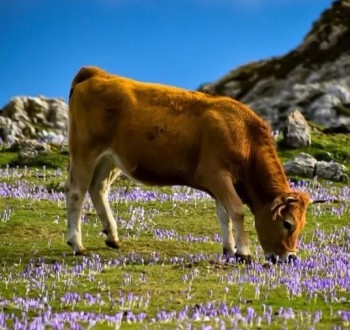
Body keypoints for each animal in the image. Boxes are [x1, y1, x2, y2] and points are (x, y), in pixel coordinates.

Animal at [65, 66, 312, 262]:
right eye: (287, 223)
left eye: (301, 225)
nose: (291, 257)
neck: (245, 137)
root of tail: (97, 73)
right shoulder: (216, 175)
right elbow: (236, 210)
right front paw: (243, 252)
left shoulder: (220, 184)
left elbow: (224, 214)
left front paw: (229, 249)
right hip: (84, 151)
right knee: (76, 192)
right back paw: (77, 244)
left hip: (109, 160)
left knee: (97, 188)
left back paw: (112, 236)